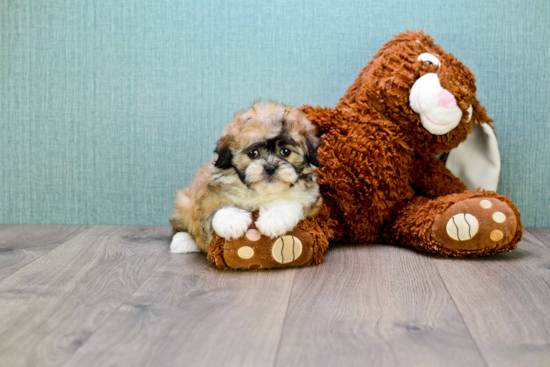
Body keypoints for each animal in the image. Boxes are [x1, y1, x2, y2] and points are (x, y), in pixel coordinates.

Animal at [170, 102, 322, 254]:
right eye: (253, 153)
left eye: (285, 151)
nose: (270, 167)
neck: (261, 192)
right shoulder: (210, 193)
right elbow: (218, 204)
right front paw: (232, 221)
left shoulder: (310, 200)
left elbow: (289, 202)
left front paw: (273, 219)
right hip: (185, 202)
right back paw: (183, 241)